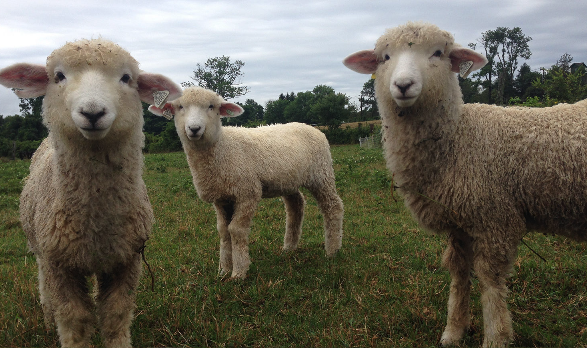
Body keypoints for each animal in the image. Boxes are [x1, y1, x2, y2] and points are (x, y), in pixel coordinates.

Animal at [0, 38, 183, 348]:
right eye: (58, 76)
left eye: (126, 78)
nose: (93, 112)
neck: (96, 221)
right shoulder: (59, 264)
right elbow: (74, 320)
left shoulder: (127, 260)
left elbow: (115, 315)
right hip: (40, 249)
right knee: (43, 285)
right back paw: (47, 320)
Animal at [147, 87, 346, 280]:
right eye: (180, 107)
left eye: (211, 106)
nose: (194, 128)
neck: (223, 147)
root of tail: (311, 127)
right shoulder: (221, 198)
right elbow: (223, 231)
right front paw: (223, 270)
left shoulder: (247, 192)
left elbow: (236, 230)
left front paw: (238, 272)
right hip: (288, 180)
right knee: (296, 205)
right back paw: (289, 247)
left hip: (321, 174)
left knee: (333, 206)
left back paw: (332, 250)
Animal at [344, 22, 587, 348]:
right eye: (385, 57)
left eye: (438, 53)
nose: (403, 85)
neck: (458, 136)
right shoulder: (459, 221)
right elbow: (459, 273)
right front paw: (454, 330)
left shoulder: (495, 218)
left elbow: (489, 280)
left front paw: (495, 337)